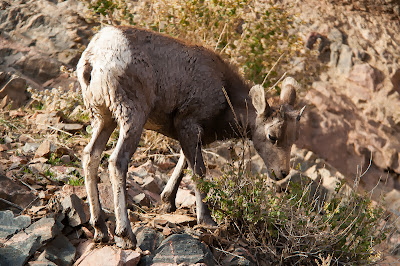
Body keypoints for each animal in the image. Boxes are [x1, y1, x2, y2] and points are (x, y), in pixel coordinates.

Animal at [76, 26, 304, 248]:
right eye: (272, 136)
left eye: (294, 138)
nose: (281, 173)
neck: (224, 92)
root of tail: (93, 59)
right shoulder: (189, 124)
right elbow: (198, 171)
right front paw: (207, 220)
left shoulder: (189, 132)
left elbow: (184, 162)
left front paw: (167, 201)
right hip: (132, 116)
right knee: (117, 161)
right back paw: (126, 235)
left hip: (103, 117)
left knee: (90, 156)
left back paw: (100, 230)